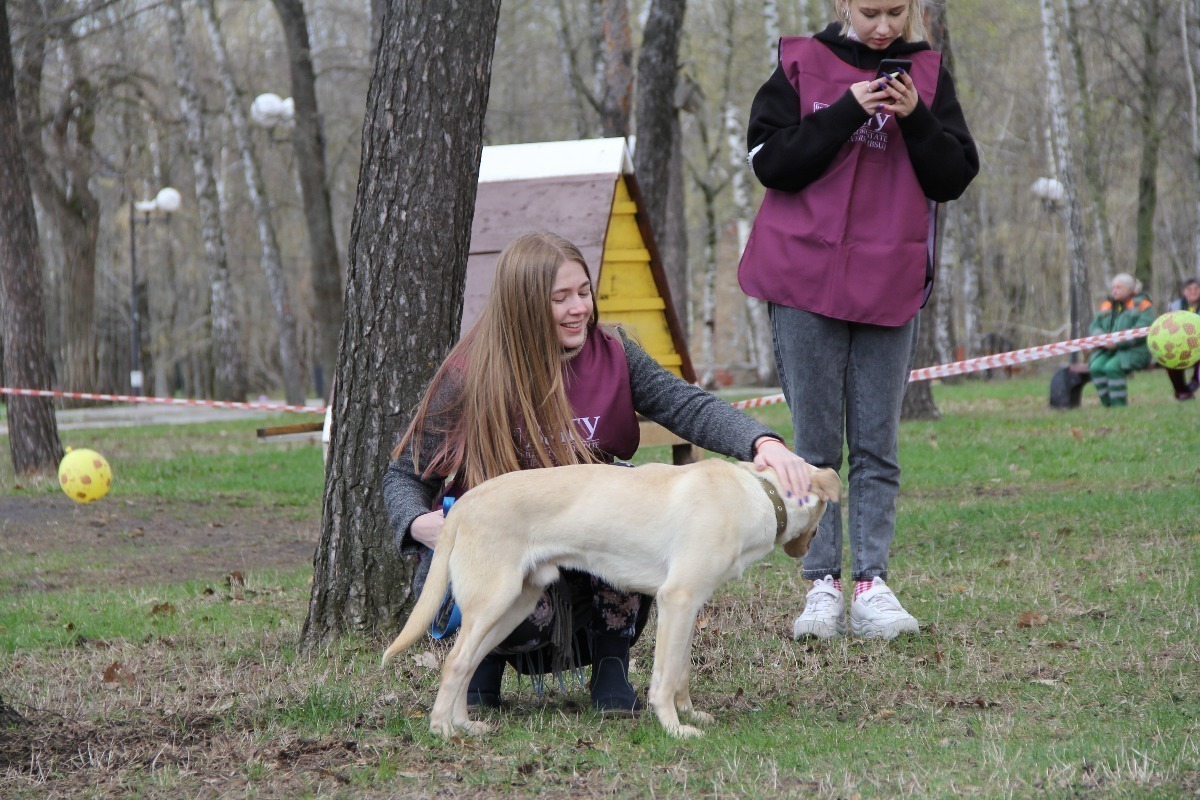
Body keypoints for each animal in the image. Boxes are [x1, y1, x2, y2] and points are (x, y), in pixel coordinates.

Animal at [381, 455, 835, 738]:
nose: (808, 554)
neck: (761, 493)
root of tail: (462, 503)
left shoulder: (690, 606)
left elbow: (682, 671)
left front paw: (689, 713)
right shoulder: (678, 598)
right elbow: (664, 677)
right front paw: (674, 728)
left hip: (512, 606)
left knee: (468, 663)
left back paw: (463, 724)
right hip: (494, 601)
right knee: (455, 663)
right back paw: (442, 729)